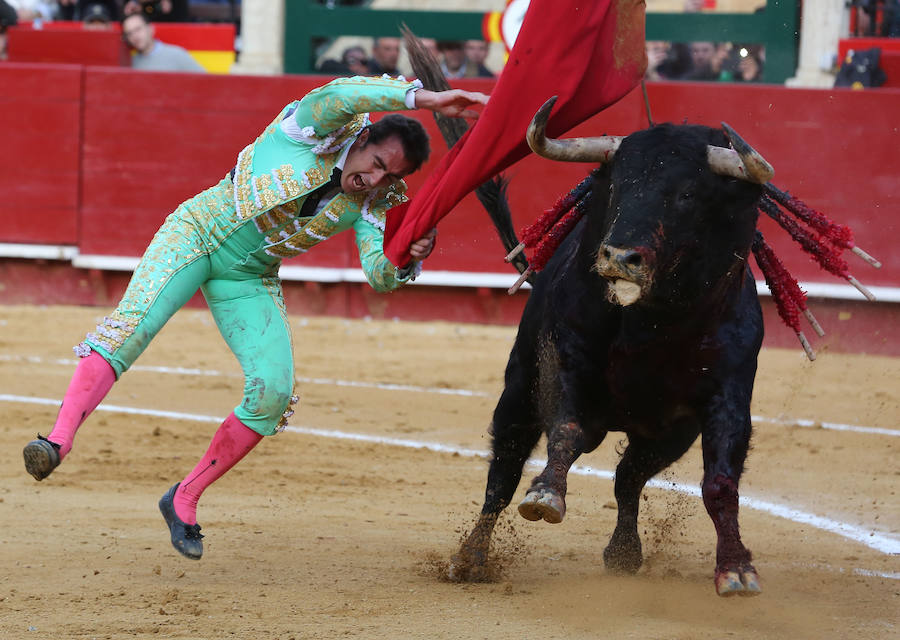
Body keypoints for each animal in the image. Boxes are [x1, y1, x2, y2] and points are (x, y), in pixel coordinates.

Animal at [454, 104, 776, 596]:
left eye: (688, 193)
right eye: (619, 185)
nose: (619, 258)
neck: (655, 321)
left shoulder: (728, 397)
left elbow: (720, 484)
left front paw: (737, 568)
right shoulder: (568, 362)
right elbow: (565, 431)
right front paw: (545, 495)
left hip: (666, 436)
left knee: (628, 479)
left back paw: (624, 552)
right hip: (520, 391)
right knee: (504, 471)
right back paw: (471, 557)